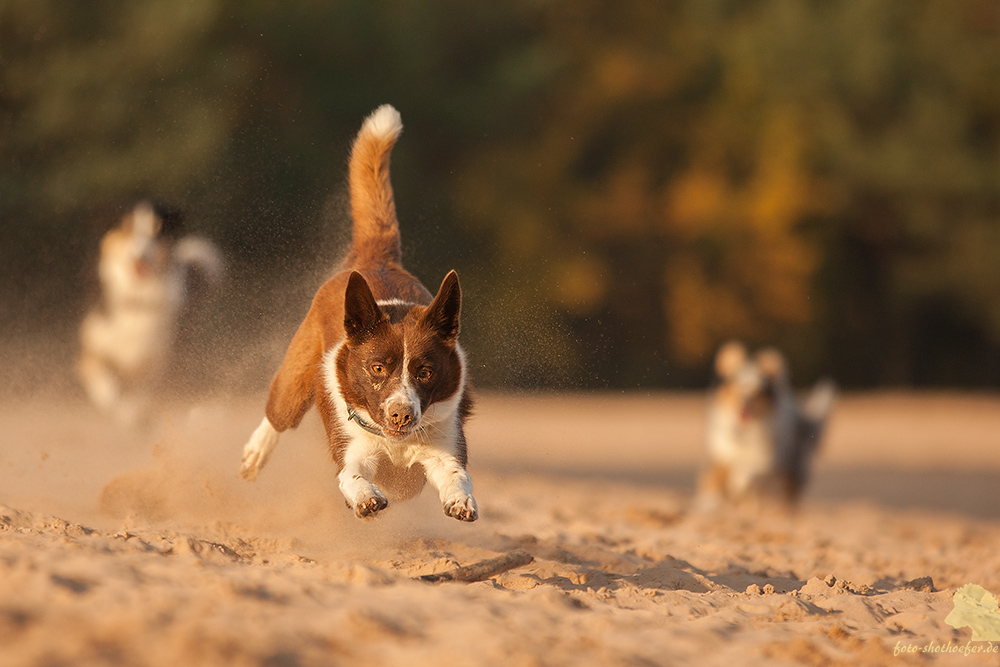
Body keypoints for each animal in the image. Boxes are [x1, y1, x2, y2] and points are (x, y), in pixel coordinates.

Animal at [78, 200, 223, 428]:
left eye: (157, 230)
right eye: (127, 229)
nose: (140, 256)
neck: (139, 299)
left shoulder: (162, 361)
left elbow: (144, 393)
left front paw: (135, 413)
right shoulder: (90, 355)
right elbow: (108, 388)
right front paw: (126, 413)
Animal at [240, 103, 478, 520]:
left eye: (426, 372)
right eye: (377, 368)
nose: (401, 414)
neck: (395, 441)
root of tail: (376, 259)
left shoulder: (445, 443)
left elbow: (454, 472)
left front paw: (461, 499)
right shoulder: (352, 447)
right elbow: (352, 474)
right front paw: (366, 496)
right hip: (297, 375)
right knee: (279, 413)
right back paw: (255, 454)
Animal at [696, 342, 836, 508]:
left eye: (758, 391)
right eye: (738, 385)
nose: (744, 404)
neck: (745, 434)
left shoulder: (768, 461)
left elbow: (751, 473)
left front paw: (740, 482)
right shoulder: (721, 457)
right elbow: (714, 480)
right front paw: (708, 505)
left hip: (792, 468)